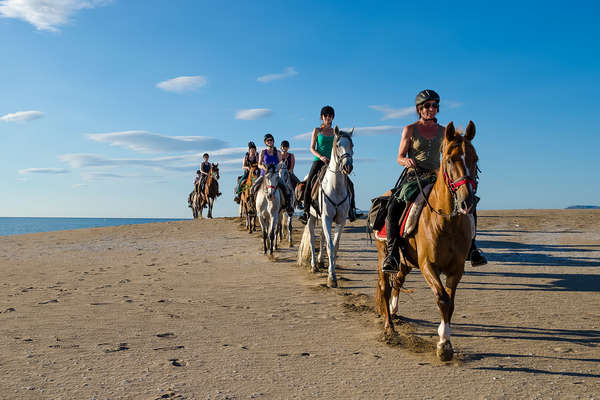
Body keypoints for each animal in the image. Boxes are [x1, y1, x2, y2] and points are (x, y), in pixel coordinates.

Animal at [298, 126, 354, 288]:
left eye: (352, 145)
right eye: (338, 145)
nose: (347, 166)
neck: (335, 187)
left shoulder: (340, 220)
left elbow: (334, 245)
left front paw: (331, 271)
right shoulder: (327, 218)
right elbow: (329, 245)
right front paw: (331, 278)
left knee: (322, 237)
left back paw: (321, 261)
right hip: (311, 217)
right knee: (312, 238)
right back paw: (314, 265)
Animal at [376, 120, 478, 360]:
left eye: (475, 159)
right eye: (450, 159)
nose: (468, 202)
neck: (447, 222)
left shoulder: (456, 268)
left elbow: (450, 302)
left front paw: (445, 340)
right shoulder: (427, 265)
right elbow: (442, 299)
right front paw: (443, 344)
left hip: (405, 261)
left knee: (398, 281)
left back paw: (393, 311)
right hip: (384, 254)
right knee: (384, 286)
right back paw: (389, 328)